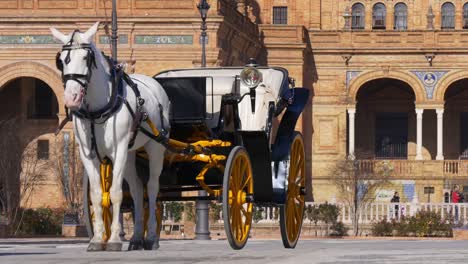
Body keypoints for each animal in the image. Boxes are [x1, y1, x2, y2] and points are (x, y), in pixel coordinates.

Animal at [50, 22, 170, 250]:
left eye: (86, 58)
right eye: (61, 61)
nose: (71, 98)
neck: (98, 109)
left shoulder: (119, 149)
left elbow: (115, 193)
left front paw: (114, 239)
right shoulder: (87, 154)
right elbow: (98, 195)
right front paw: (98, 239)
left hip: (155, 148)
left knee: (152, 187)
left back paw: (151, 237)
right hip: (131, 154)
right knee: (137, 188)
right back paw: (136, 237)